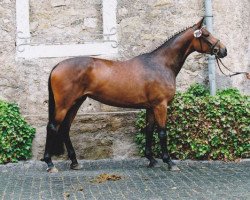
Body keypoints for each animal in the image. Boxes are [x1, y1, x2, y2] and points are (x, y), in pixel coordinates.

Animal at [42, 18, 227, 173]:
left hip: (76, 102)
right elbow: (162, 132)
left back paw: (75, 162)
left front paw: (151, 159)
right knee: (52, 127)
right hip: (64, 104)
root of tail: (57, 66)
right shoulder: (161, 105)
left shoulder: (151, 107)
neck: (160, 64)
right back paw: (50, 164)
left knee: (65, 128)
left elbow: (149, 130)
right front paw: (169, 162)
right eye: (206, 34)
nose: (223, 50)